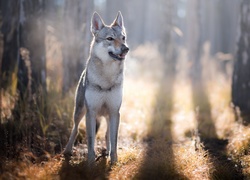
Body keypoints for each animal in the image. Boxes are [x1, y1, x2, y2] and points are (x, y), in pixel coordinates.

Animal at [63, 11, 130, 165]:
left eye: (123, 38)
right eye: (110, 38)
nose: (126, 48)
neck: (106, 77)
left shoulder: (114, 112)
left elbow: (114, 140)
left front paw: (114, 162)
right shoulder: (91, 112)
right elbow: (90, 140)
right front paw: (90, 163)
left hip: (108, 115)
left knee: (106, 135)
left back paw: (107, 152)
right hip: (79, 112)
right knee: (75, 129)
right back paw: (68, 151)